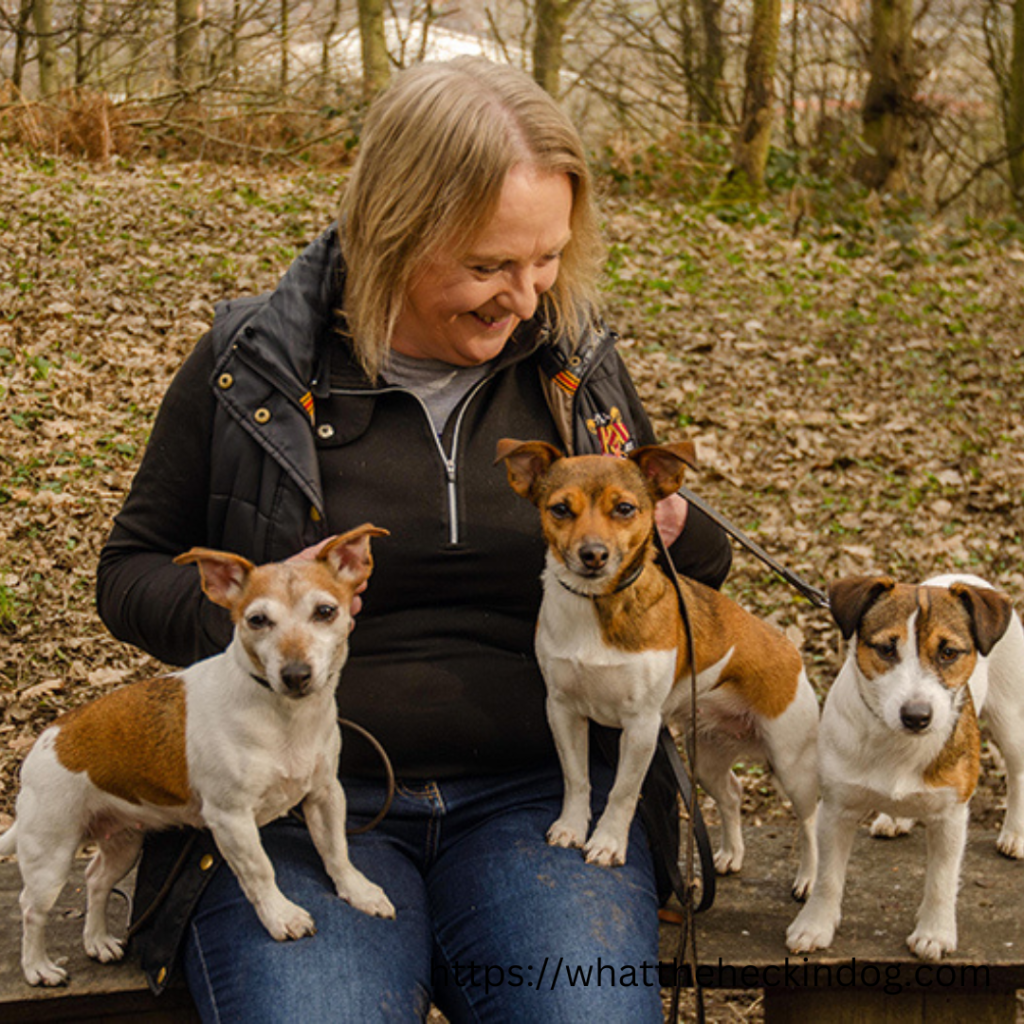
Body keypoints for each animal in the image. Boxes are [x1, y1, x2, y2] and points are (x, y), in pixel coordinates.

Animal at [0, 524, 395, 987]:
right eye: (257, 620)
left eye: (326, 611)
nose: (296, 675)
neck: (286, 717)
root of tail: (46, 740)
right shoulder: (231, 819)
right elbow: (260, 871)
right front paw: (281, 917)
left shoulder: (325, 795)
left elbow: (336, 850)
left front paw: (358, 890)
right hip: (50, 857)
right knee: (31, 909)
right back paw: (37, 966)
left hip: (124, 842)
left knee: (96, 880)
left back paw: (97, 940)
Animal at [786, 577, 1019, 958]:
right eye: (886, 649)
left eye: (949, 653)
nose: (916, 716)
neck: (897, 744)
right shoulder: (836, 809)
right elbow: (827, 877)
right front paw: (815, 924)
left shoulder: (951, 816)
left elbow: (941, 880)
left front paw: (935, 932)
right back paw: (896, 818)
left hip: (1011, 721)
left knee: (1017, 774)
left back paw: (1014, 833)